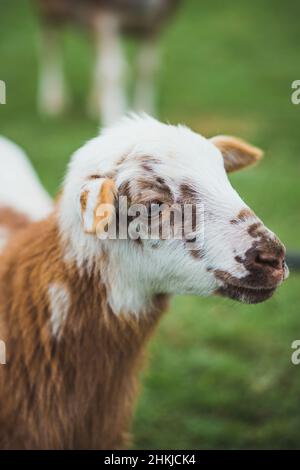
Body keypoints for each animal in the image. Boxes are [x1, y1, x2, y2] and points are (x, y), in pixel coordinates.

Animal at [35, 0, 180, 125]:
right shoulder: (104, 15)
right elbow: (114, 72)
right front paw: (114, 121)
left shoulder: (157, 21)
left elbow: (147, 69)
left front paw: (144, 113)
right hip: (49, 10)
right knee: (52, 43)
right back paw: (52, 101)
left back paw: (97, 101)